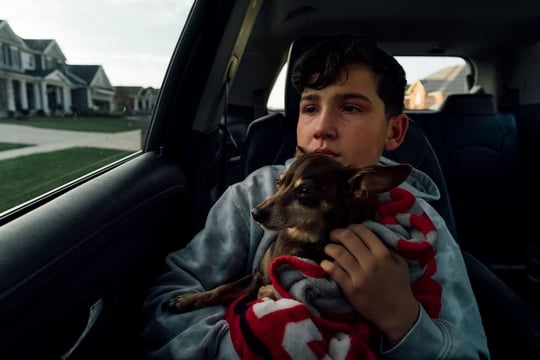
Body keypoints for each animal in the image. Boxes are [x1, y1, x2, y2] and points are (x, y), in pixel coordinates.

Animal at [167, 152, 412, 312]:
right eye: (278, 182)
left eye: (305, 190)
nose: (255, 212)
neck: (297, 236)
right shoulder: (256, 276)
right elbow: (222, 289)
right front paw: (189, 300)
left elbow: (272, 292)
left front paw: (266, 293)